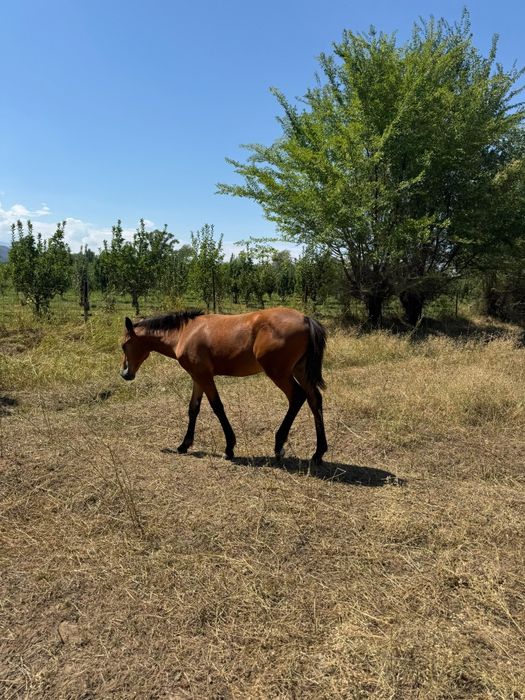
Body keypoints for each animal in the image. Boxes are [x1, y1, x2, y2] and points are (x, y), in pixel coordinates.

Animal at [120, 307, 328, 464]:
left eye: (123, 345)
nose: (125, 373)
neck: (185, 333)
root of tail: (306, 319)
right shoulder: (197, 377)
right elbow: (193, 409)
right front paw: (184, 445)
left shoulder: (205, 377)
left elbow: (217, 407)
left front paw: (229, 448)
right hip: (300, 371)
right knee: (314, 400)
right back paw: (318, 453)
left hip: (280, 374)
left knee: (297, 397)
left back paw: (279, 446)